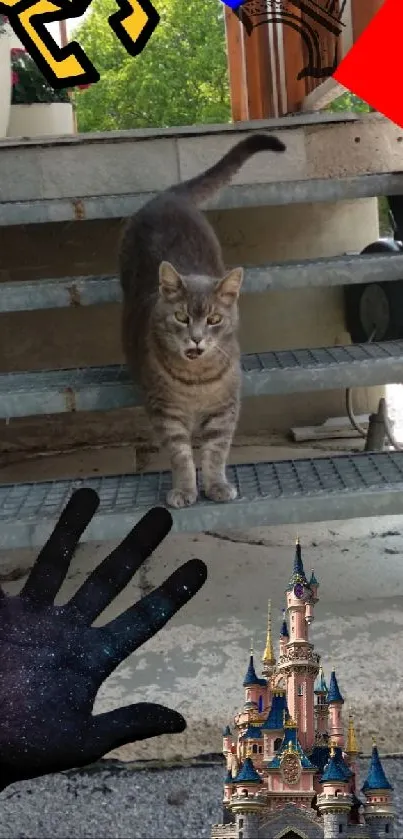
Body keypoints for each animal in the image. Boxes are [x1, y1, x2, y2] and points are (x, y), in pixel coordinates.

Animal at [120, 135, 288, 508]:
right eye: (182, 316)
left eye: (213, 318)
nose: (196, 338)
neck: (195, 381)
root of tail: (169, 195)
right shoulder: (166, 413)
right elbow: (182, 456)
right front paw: (185, 490)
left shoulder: (224, 411)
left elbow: (215, 453)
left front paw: (217, 485)